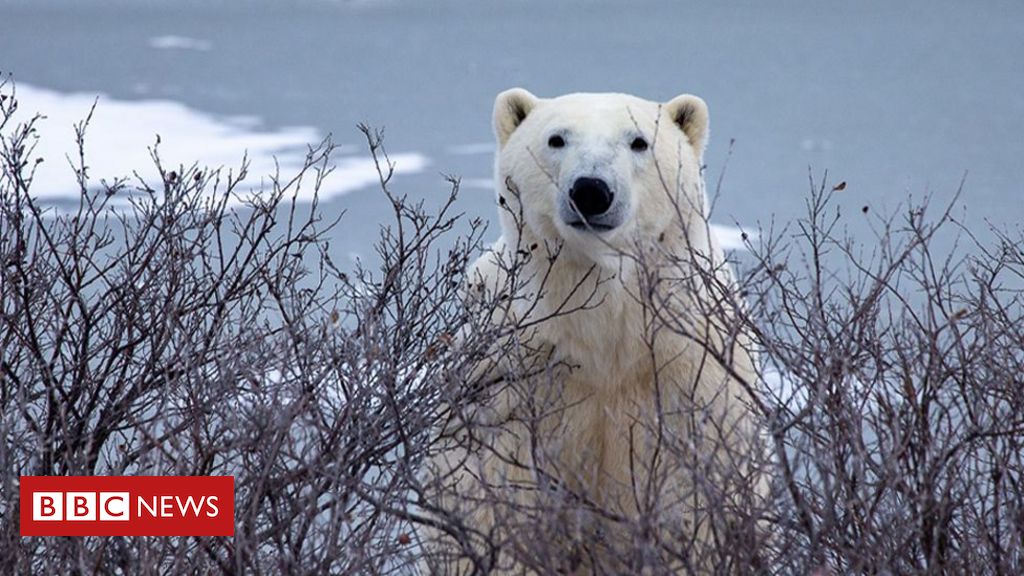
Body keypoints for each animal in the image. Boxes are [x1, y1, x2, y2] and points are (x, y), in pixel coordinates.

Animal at [419, 88, 765, 569]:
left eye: (639, 141)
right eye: (556, 138)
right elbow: (493, 495)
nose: (591, 190)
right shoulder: (508, 379)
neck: (605, 333)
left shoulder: (690, 375)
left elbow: (693, 500)